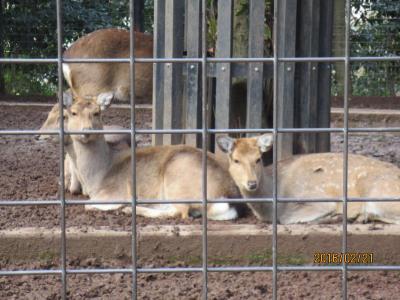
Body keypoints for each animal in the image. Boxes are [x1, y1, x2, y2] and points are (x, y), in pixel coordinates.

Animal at [54, 90, 239, 219]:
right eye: (73, 113)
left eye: (97, 113)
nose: (86, 130)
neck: (97, 175)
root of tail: (228, 196)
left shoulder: (114, 192)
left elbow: (87, 205)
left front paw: (119, 205)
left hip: (178, 180)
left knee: (180, 212)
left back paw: (130, 208)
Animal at [217, 135, 400, 224]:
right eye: (236, 160)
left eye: (258, 159)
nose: (252, 183)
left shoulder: (320, 199)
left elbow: (287, 219)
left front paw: (336, 216)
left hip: (377, 193)